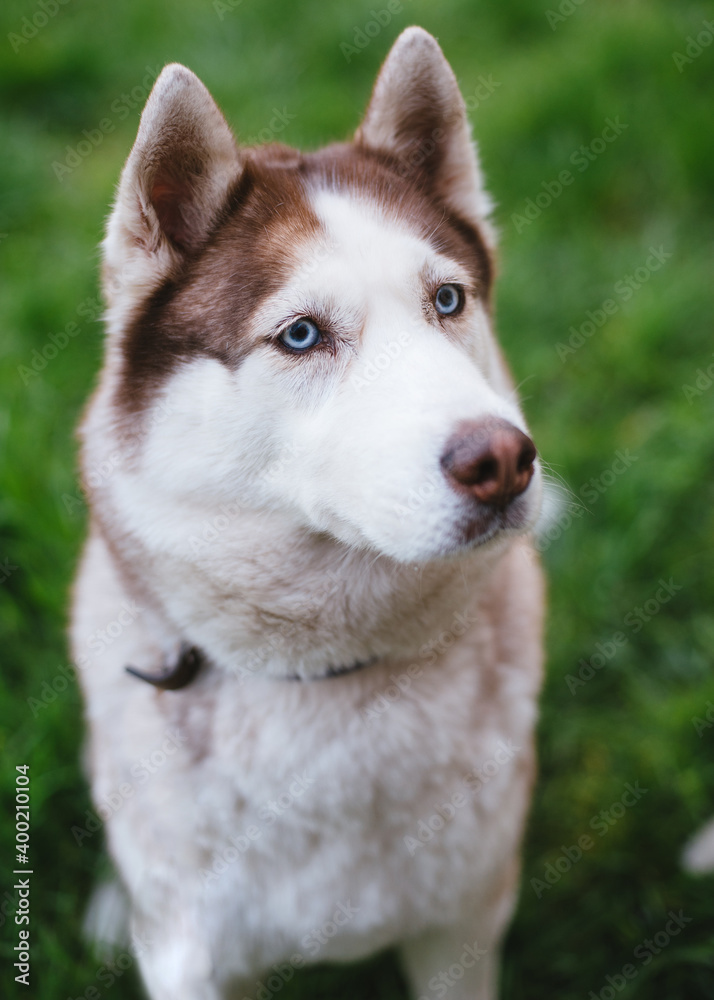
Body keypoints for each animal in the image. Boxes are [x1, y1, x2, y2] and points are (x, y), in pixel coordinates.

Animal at [69, 27, 544, 996]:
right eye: (301, 335)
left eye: (448, 299)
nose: (504, 463)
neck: (325, 676)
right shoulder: (193, 957)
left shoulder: (464, 927)